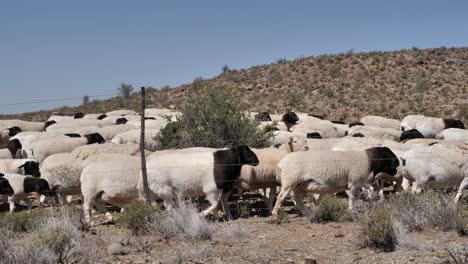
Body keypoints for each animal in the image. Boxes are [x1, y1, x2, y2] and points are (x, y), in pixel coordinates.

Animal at [272, 146, 400, 217]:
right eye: (387, 155)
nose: (398, 163)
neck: (368, 160)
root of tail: (281, 163)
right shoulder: (354, 181)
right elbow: (353, 197)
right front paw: (351, 209)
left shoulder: (359, 182)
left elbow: (364, 193)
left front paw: (365, 203)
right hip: (290, 181)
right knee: (281, 197)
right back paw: (275, 214)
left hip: (299, 186)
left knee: (298, 201)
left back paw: (309, 212)